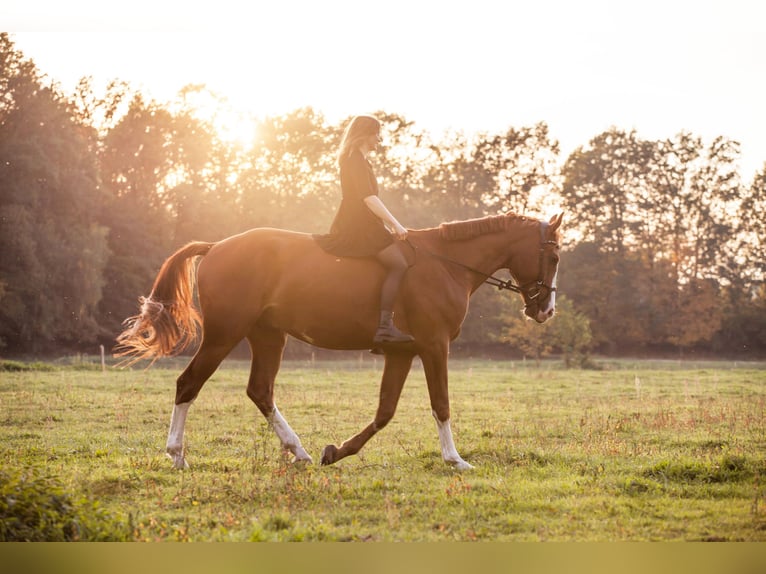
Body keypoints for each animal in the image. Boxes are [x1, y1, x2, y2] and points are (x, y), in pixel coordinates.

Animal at [116, 212, 562, 470]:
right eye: (555, 257)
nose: (545, 311)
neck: (444, 264)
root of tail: (217, 246)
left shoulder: (402, 353)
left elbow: (385, 412)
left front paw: (337, 451)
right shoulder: (435, 347)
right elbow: (441, 404)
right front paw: (455, 459)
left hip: (268, 335)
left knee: (260, 390)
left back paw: (299, 451)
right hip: (225, 334)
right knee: (188, 384)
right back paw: (177, 455)